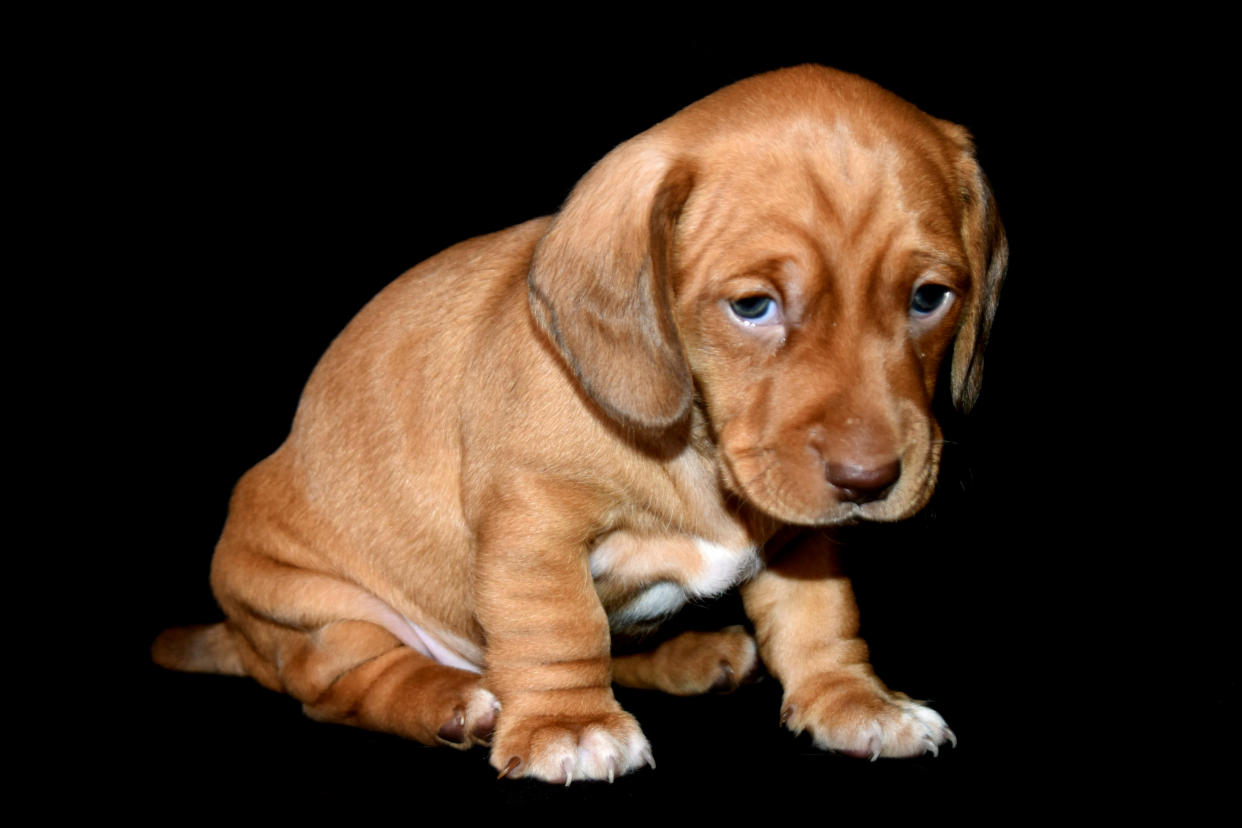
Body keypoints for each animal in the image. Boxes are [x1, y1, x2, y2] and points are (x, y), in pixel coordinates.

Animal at [155, 64, 1008, 784]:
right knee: (347, 685)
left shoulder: (803, 535)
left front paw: (854, 702)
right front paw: (567, 725)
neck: (695, 451)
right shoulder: (535, 526)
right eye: (753, 306)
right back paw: (451, 699)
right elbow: (560, 628)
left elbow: (819, 619)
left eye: (930, 298)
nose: (869, 481)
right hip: (320, 611)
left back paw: (688, 657)